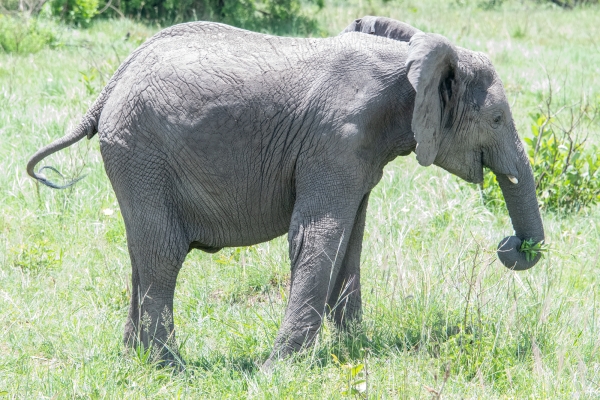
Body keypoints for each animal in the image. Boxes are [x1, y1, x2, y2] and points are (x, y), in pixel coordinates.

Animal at [27, 21, 544, 366]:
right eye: (497, 119)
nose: (511, 245)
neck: (412, 62)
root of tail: (112, 81)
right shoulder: (335, 139)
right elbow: (317, 234)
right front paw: (280, 369)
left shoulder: (359, 153)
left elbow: (351, 240)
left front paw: (354, 348)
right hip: (140, 149)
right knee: (163, 251)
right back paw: (169, 368)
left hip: (134, 157)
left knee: (141, 251)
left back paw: (133, 360)